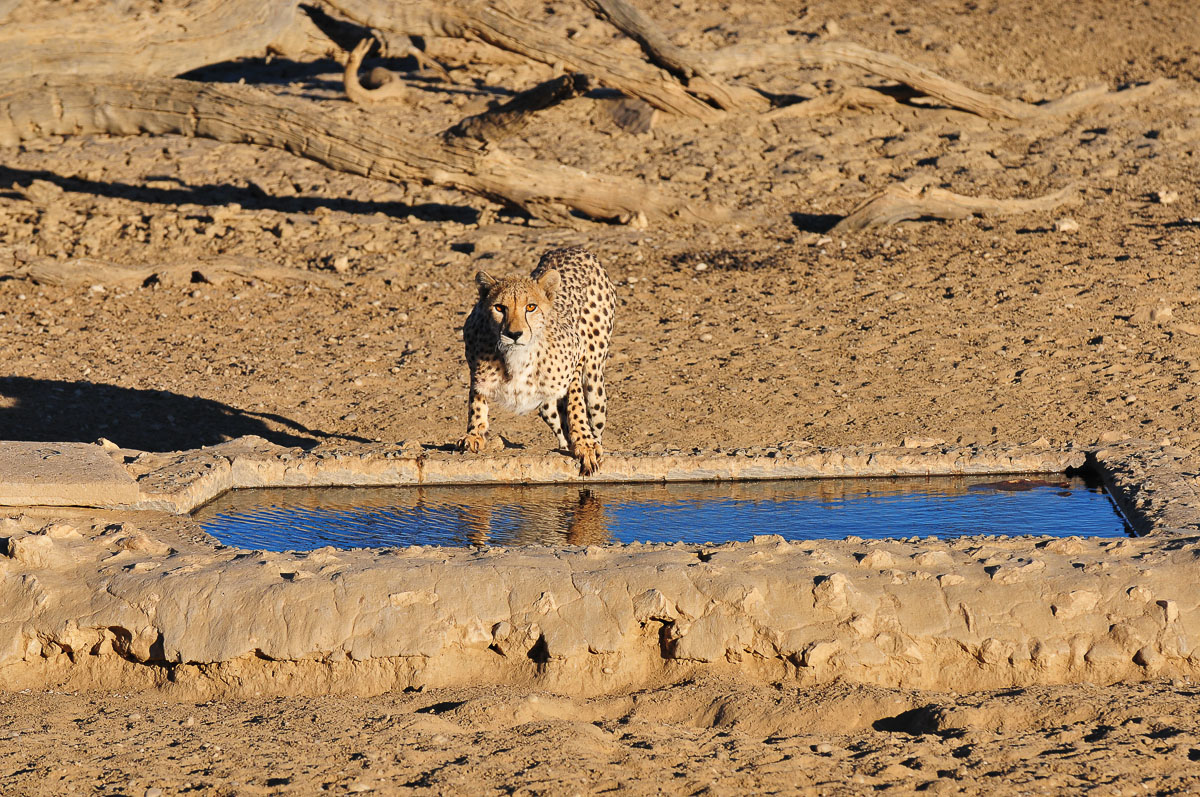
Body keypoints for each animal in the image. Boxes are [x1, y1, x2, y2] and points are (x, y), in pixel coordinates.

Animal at [459, 246, 616, 475]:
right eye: (499, 308)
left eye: (531, 307)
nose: (514, 334)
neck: (517, 356)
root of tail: (571, 247)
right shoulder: (475, 365)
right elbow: (476, 399)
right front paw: (474, 434)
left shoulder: (576, 356)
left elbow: (576, 405)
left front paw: (585, 444)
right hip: (546, 406)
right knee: (561, 429)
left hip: (595, 381)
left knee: (594, 417)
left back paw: (592, 442)